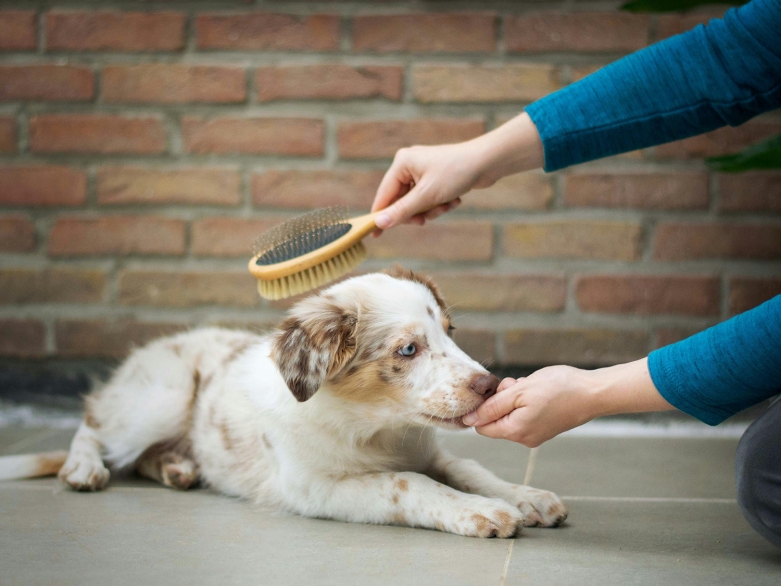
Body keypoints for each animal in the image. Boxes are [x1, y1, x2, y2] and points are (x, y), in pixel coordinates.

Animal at [0, 266, 564, 536]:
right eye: (408, 349)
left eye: (450, 332)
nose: (490, 385)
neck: (376, 429)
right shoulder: (313, 487)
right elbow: (407, 484)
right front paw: (481, 513)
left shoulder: (429, 450)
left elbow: (467, 468)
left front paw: (526, 497)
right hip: (160, 398)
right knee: (93, 423)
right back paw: (83, 469)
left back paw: (179, 468)